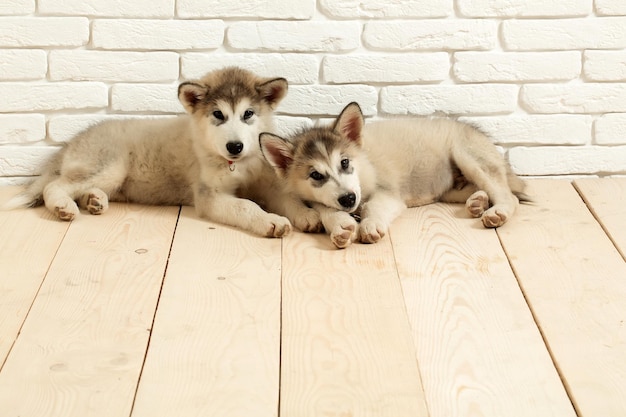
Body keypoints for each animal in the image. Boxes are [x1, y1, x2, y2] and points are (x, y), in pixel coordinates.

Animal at [7, 68, 322, 237]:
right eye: (218, 115)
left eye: (248, 114)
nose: (235, 146)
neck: (237, 165)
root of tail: (73, 141)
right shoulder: (209, 196)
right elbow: (245, 206)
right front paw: (270, 221)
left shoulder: (267, 183)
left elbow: (287, 197)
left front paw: (306, 215)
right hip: (110, 166)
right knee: (53, 186)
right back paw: (65, 207)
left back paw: (95, 201)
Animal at [258, 103, 528, 249]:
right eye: (315, 175)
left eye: (344, 162)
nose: (348, 199)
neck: (364, 166)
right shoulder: (314, 197)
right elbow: (324, 208)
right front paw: (340, 225)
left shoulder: (387, 194)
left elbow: (372, 206)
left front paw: (369, 224)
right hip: (451, 189)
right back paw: (478, 202)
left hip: (468, 156)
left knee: (509, 196)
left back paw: (497, 212)